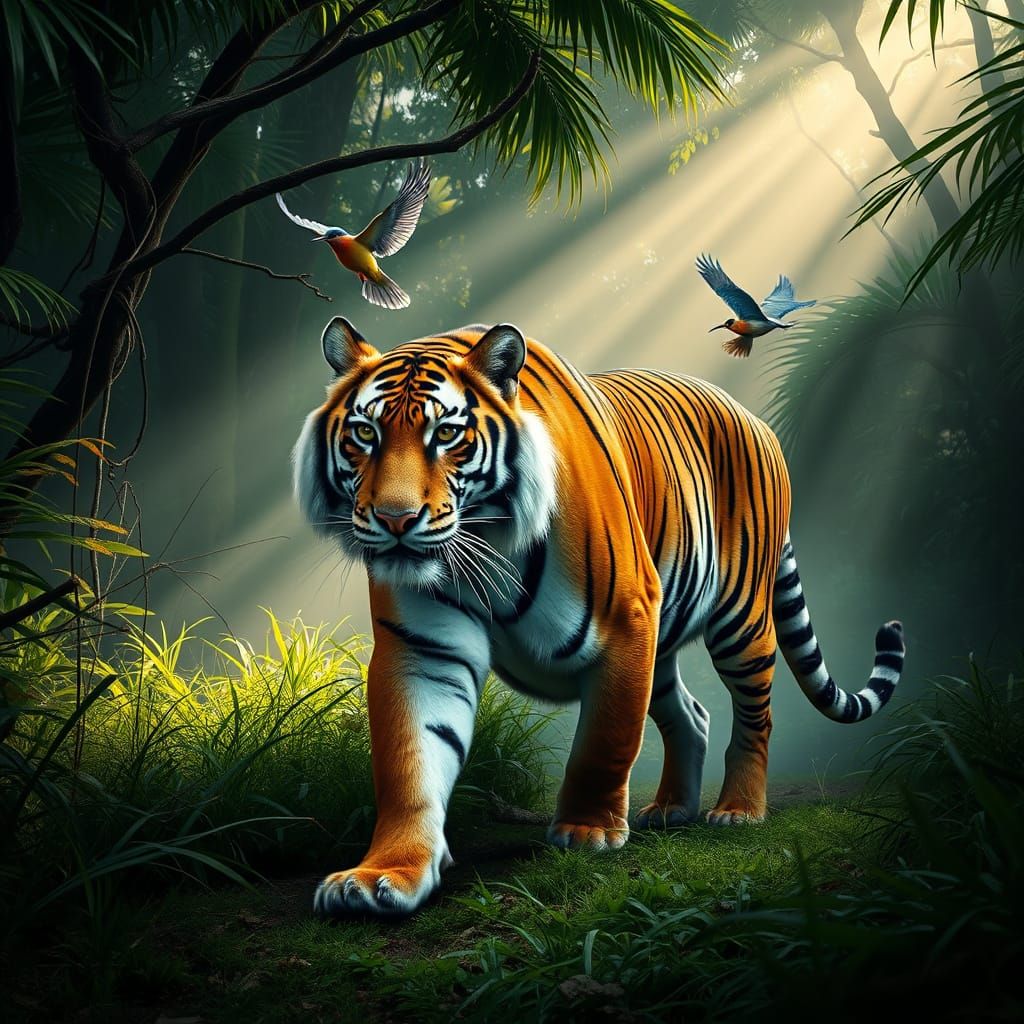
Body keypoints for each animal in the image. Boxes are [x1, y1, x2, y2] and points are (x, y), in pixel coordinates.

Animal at [293, 317, 906, 918]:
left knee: (756, 715)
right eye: (365, 434)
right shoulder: (422, 651)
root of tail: (756, 420)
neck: (485, 539)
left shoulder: (625, 625)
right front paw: (384, 875)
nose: (396, 520)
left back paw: (738, 809)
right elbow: (410, 763)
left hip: (741, 622)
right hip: (663, 647)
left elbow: (604, 741)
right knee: (691, 715)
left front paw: (587, 830)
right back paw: (671, 808)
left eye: (445, 435)